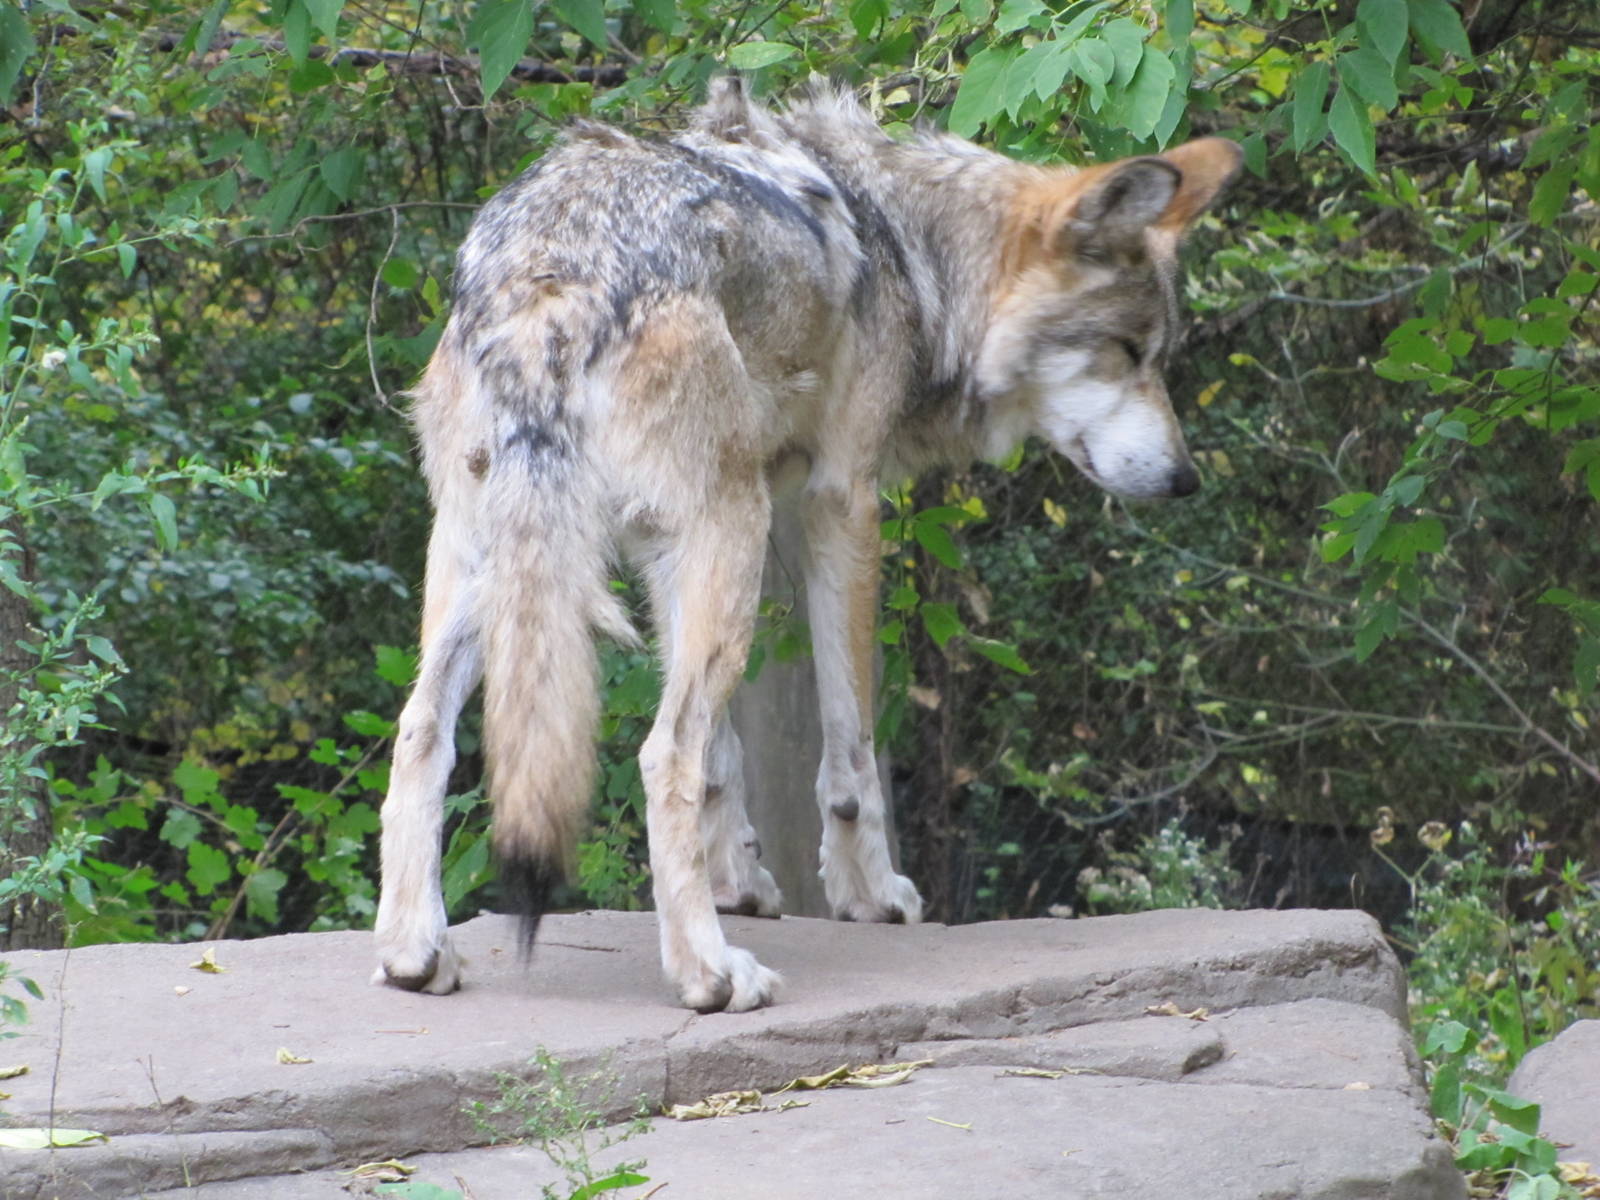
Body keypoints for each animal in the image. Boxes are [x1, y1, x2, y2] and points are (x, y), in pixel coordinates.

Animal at [373, 78, 1242, 1013]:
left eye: (1159, 355)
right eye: (1126, 352)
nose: (1188, 479)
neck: (917, 254)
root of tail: (549, 275)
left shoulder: (669, 546)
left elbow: (725, 756)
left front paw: (738, 885)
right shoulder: (842, 504)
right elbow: (849, 746)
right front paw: (870, 893)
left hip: (507, 561)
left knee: (421, 729)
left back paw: (414, 953)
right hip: (727, 530)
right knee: (661, 752)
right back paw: (710, 975)